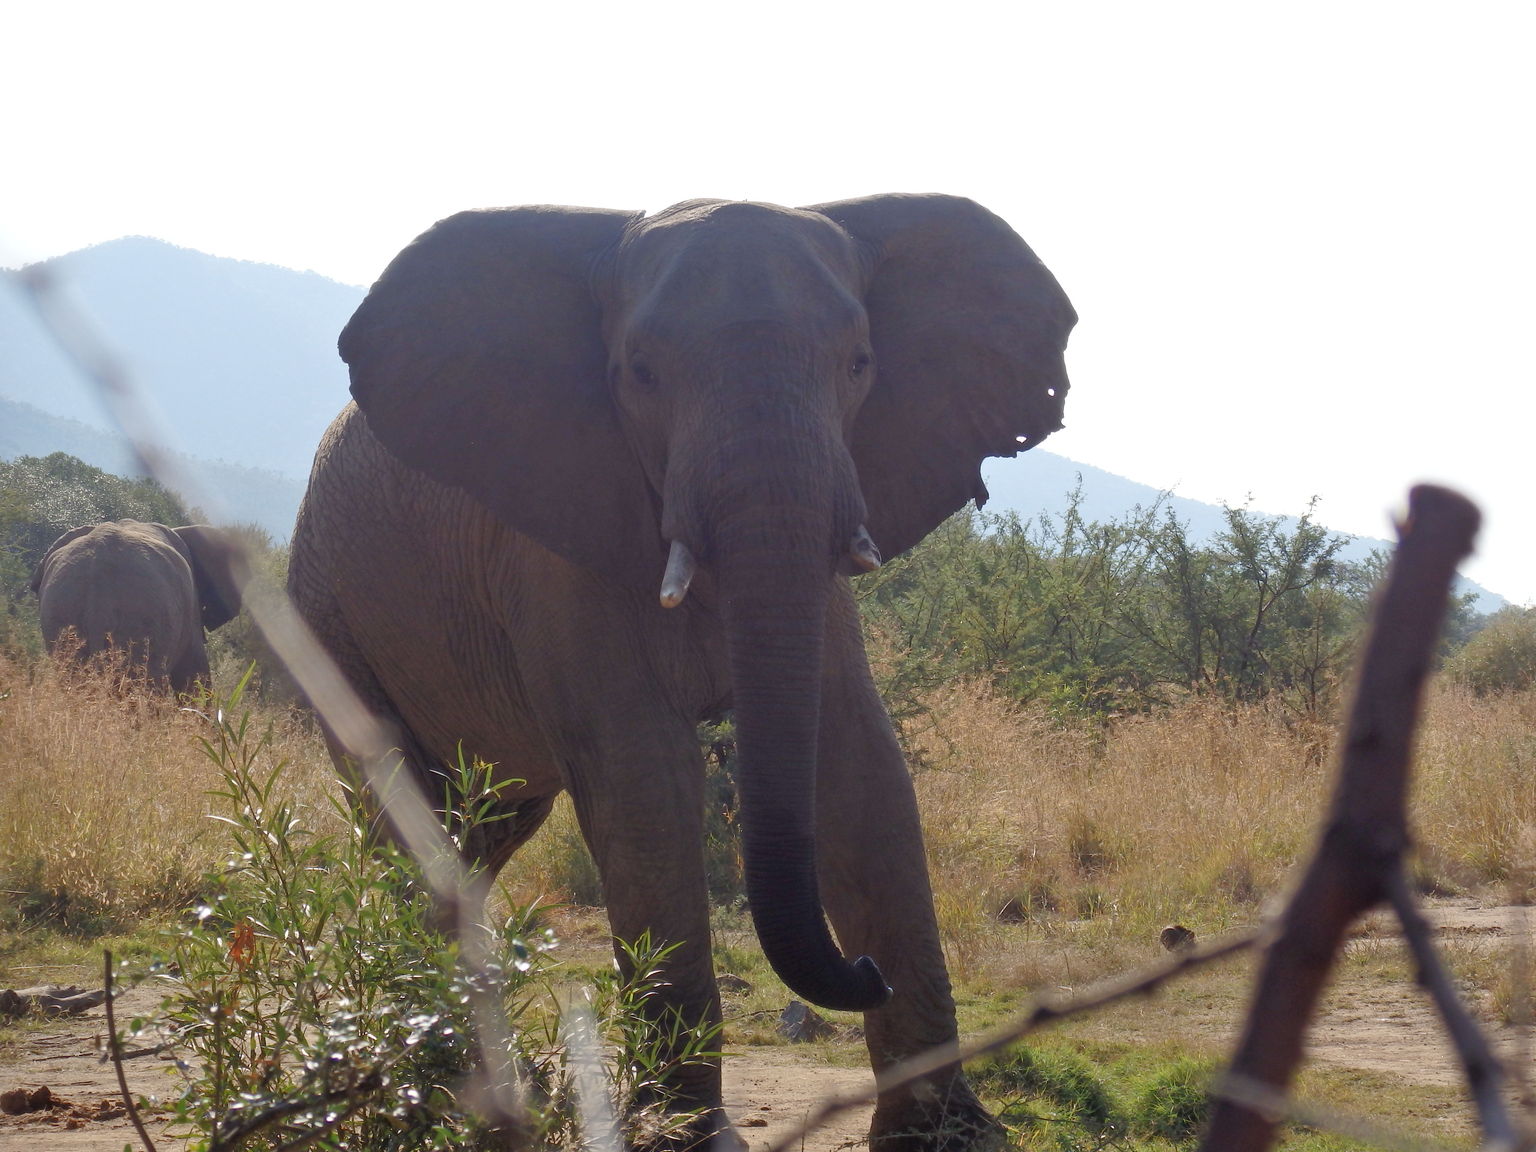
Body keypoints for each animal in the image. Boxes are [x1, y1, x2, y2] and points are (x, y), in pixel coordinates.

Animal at [288, 194, 1075, 1150]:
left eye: (860, 364)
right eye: (640, 373)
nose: (864, 967)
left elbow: (861, 771)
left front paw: (947, 1135)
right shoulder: (554, 539)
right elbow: (644, 782)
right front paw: (683, 1135)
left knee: (478, 836)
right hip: (326, 613)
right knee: (404, 814)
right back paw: (436, 1085)